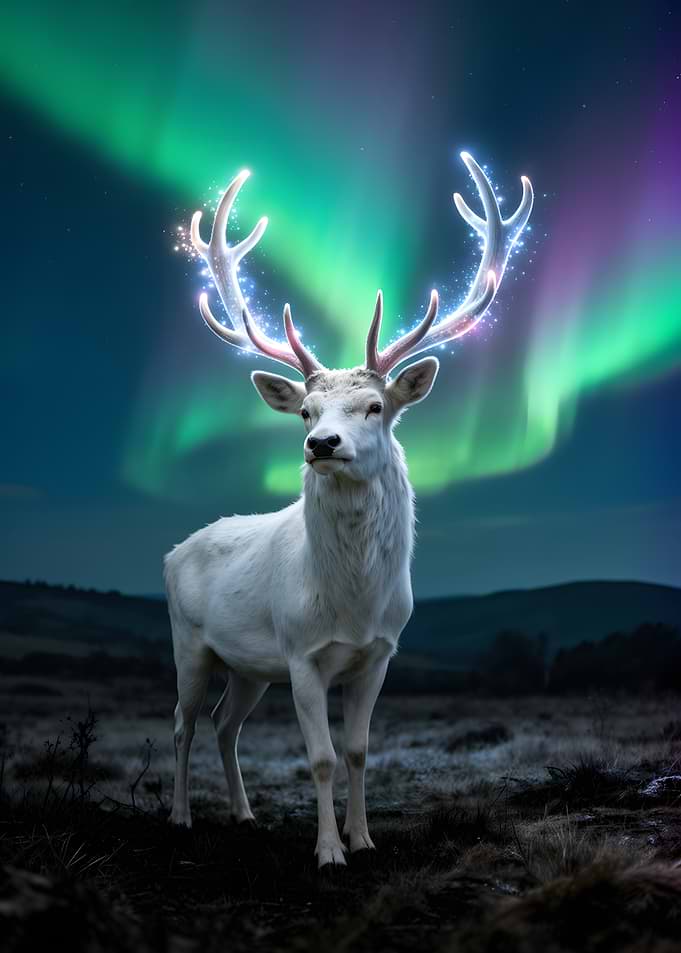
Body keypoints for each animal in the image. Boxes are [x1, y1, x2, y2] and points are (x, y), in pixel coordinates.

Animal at [164, 152, 533, 866]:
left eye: (375, 406)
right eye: (306, 411)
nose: (321, 445)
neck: (353, 603)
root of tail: (173, 549)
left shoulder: (380, 654)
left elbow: (360, 752)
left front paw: (364, 840)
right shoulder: (301, 653)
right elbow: (322, 758)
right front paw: (328, 852)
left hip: (248, 665)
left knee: (225, 725)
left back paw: (244, 816)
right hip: (188, 641)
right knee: (182, 723)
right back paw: (180, 817)